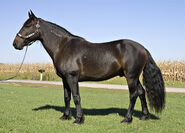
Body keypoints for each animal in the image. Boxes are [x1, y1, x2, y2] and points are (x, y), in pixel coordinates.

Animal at [13, 11, 165, 124]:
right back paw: (144, 116)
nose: (15, 43)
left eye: (28, 25)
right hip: (133, 76)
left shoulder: (72, 77)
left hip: (131, 76)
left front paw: (79, 119)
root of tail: (143, 48)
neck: (62, 47)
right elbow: (66, 97)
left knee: (133, 95)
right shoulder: (64, 79)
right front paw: (65, 116)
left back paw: (127, 119)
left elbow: (76, 97)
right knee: (141, 92)